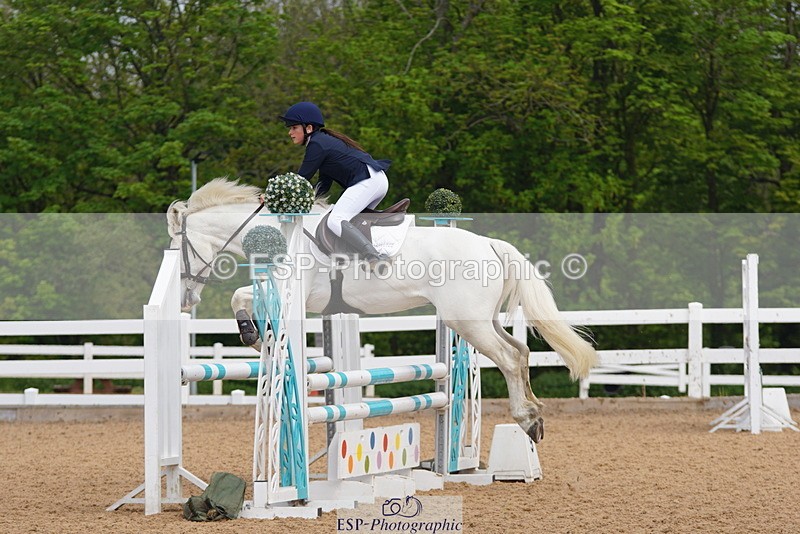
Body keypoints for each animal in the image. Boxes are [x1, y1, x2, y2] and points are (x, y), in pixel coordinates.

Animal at [167, 178, 598, 443]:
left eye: (178, 246)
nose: (186, 299)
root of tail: (489, 243)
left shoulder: (293, 291)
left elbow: (239, 297)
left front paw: (255, 337)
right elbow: (242, 299)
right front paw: (261, 337)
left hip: (466, 321)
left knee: (509, 357)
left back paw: (526, 417)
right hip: (483, 319)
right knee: (521, 352)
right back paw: (535, 416)